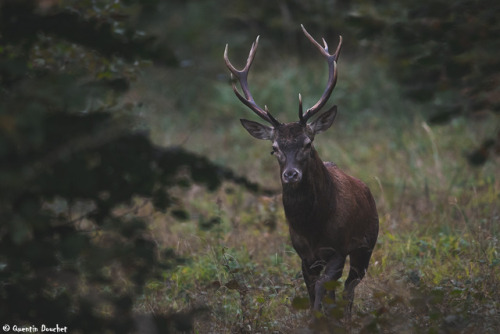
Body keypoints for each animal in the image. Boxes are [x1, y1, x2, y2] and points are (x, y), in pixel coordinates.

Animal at [224, 24, 378, 318]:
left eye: (308, 143)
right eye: (274, 148)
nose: (291, 174)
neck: (312, 226)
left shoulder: (339, 248)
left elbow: (322, 290)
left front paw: (321, 319)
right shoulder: (304, 255)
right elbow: (312, 291)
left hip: (367, 244)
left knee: (349, 288)